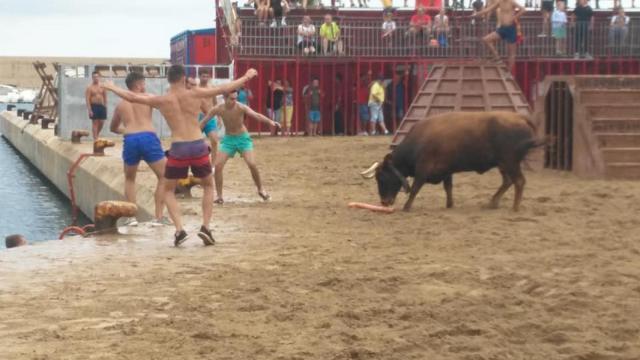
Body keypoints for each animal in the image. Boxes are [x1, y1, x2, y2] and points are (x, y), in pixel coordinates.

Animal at [362, 112, 544, 211]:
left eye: (382, 178)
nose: (384, 202)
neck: (419, 140)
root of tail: (520, 118)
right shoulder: (446, 170)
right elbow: (448, 187)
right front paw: (450, 204)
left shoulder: (423, 169)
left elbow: (415, 188)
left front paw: (407, 207)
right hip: (503, 164)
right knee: (507, 181)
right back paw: (492, 203)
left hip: (510, 162)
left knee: (518, 181)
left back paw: (514, 207)